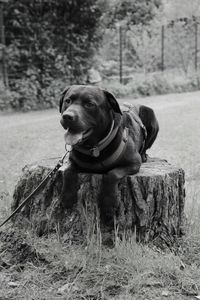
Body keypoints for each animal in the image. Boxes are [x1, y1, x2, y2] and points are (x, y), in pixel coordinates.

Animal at [58, 84, 159, 223]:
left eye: (89, 104)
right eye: (68, 101)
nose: (67, 116)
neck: (94, 147)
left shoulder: (133, 162)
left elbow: (112, 174)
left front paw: (108, 205)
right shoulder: (73, 160)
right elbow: (67, 171)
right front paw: (67, 196)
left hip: (152, 118)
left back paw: (144, 155)